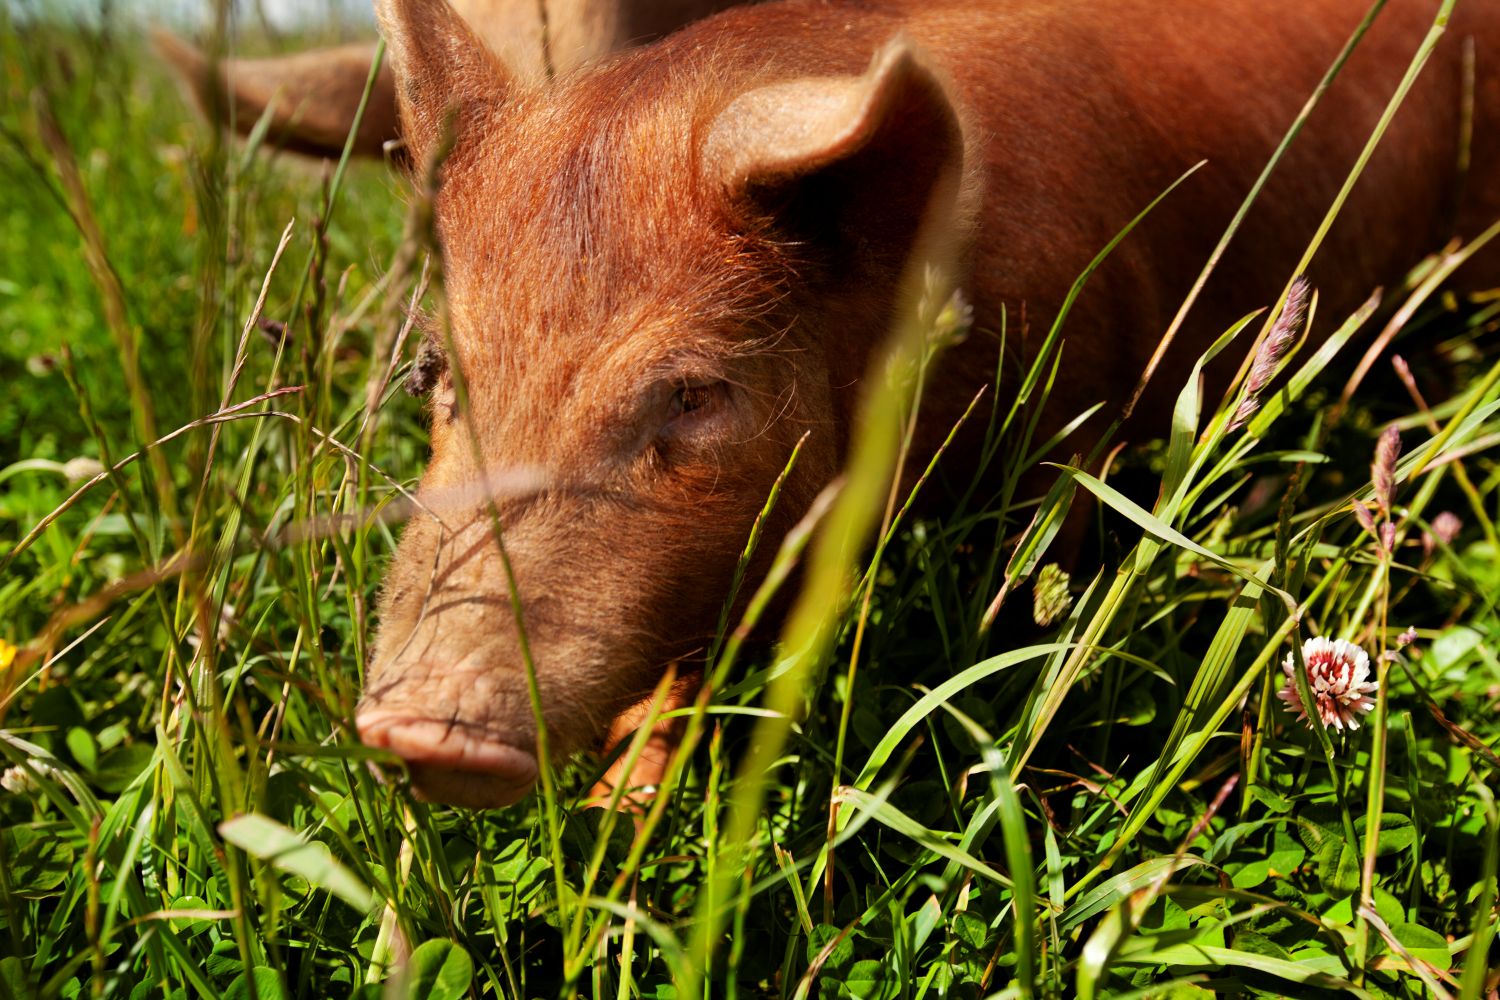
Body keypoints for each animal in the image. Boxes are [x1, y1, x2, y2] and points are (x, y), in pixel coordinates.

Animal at [354, 0, 1500, 808]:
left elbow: (1035, 605)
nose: (414, 729)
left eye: (691, 393)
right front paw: (618, 809)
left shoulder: (1074, 433)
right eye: (435, 375)